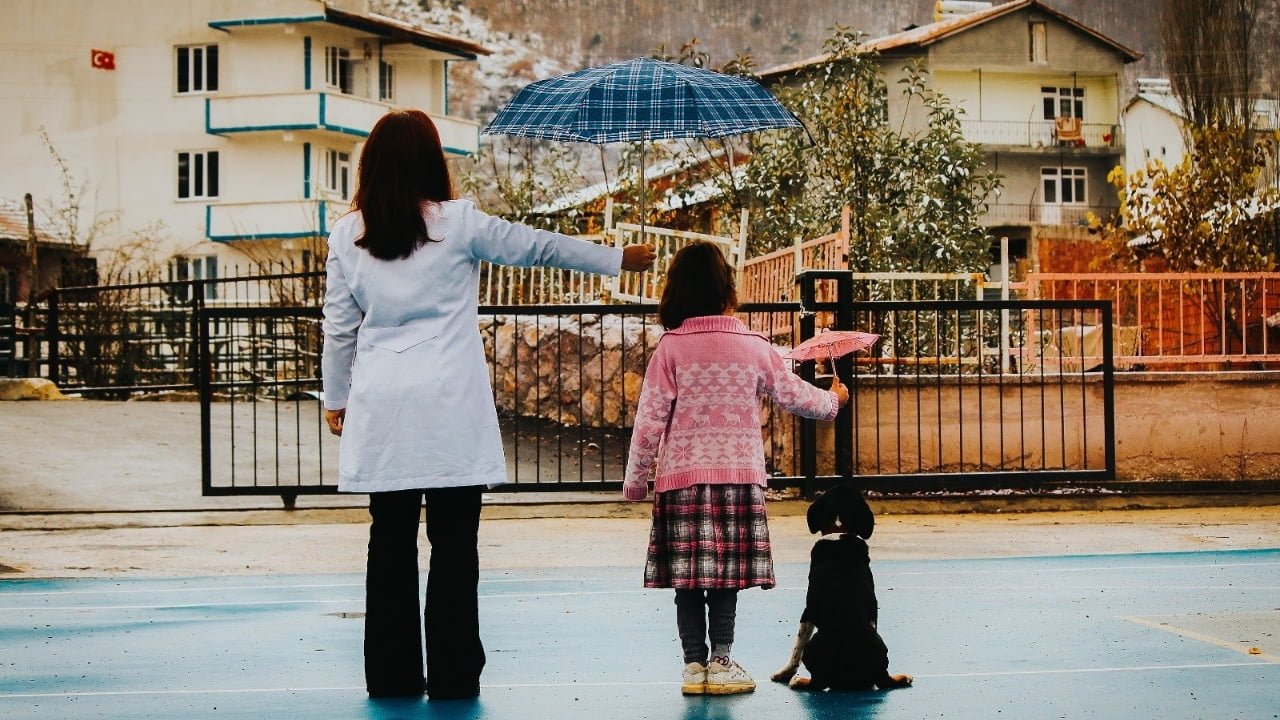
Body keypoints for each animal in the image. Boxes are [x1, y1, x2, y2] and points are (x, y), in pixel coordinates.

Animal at [768, 481, 911, 691]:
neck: (839, 530)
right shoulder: (873, 608)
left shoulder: (808, 610)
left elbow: (796, 648)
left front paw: (784, 673)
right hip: (882, 650)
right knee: (885, 679)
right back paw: (903, 677)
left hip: (813, 646)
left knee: (817, 682)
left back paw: (798, 681)